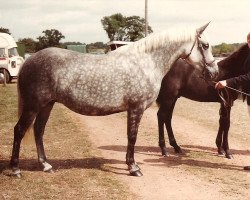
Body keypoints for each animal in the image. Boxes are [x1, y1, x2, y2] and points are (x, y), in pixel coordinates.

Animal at [9, 22, 218, 177]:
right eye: (206, 45)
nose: (214, 73)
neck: (146, 62)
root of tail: (29, 60)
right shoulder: (136, 108)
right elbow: (132, 137)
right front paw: (133, 168)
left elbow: (131, 137)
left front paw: (130, 164)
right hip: (33, 105)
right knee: (19, 130)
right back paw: (15, 169)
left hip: (47, 105)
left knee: (38, 131)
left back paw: (46, 165)